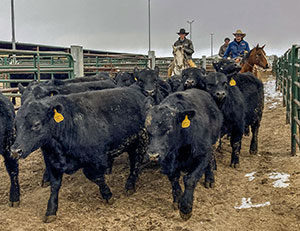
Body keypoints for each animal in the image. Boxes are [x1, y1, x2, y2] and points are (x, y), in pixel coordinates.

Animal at [11, 87, 148, 223]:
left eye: (36, 124)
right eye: (15, 125)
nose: (15, 151)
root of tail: (135, 90)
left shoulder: (96, 160)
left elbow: (96, 177)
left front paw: (108, 195)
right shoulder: (52, 163)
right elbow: (55, 186)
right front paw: (51, 211)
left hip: (141, 141)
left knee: (136, 162)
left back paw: (130, 185)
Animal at [145, 88, 223, 220]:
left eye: (169, 128)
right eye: (147, 130)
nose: (153, 155)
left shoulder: (203, 153)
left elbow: (190, 179)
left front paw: (186, 207)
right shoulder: (167, 161)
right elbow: (174, 179)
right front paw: (178, 199)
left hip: (214, 142)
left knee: (211, 160)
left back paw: (209, 179)